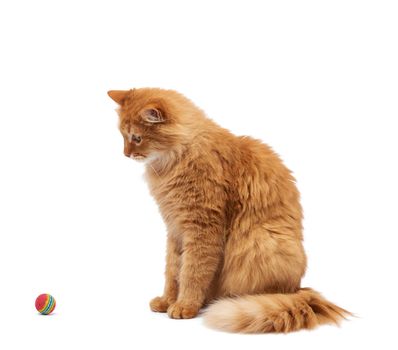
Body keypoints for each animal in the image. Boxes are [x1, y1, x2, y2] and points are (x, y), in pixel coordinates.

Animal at [107, 88, 350, 334]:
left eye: (136, 138)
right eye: (123, 136)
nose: (125, 154)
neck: (177, 159)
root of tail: (298, 290)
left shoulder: (202, 227)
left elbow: (192, 273)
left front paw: (184, 305)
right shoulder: (175, 229)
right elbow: (173, 272)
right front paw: (167, 301)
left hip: (263, 243)